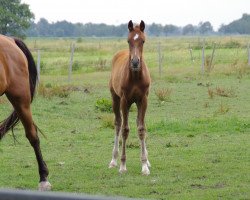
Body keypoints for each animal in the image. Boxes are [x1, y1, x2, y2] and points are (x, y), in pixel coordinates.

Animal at [109, 20, 150, 175]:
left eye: (143, 41)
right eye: (128, 41)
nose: (135, 62)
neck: (135, 77)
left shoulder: (143, 100)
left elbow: (141, 128)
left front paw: (144, 165)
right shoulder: (124, 100)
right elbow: (125, 130)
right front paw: (122, 165)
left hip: (137, 103)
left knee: (139, 123)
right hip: (115, 99)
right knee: (118, 124)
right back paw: (113, 160)